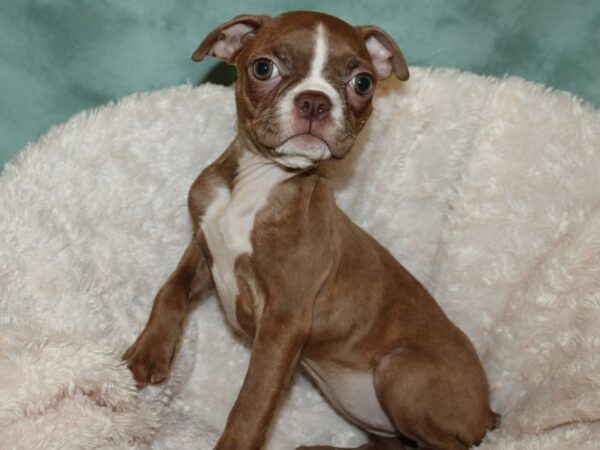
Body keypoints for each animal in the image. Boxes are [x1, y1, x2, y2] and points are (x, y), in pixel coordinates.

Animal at [122, 10, 496, 450]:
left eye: (363, 82)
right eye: (263, 68)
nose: (315, 101)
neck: (259, 184)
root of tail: (489, 412)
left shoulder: (283, 321)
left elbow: (252, 403)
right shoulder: (203, 247)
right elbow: (171, 289)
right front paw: (149, 351)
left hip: (399, 372)